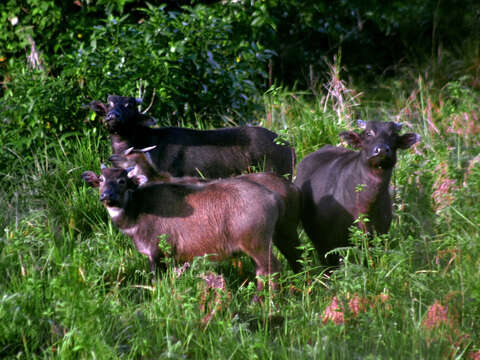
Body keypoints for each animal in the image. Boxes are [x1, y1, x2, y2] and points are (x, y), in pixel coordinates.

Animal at [82, 167, 284, 292]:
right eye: (101, 179)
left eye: (122, 180)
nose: (106, 196)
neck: (138, 211)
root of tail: (272, 197)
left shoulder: (155, 253)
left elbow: (155, 282)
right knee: (262, 271)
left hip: (258, 244)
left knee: (271, 269)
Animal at [292, 120, 420, 264]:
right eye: (368, 133)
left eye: (393, 135)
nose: (381, 150)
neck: (367, 204)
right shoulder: (332, 242)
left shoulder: (380, 235)